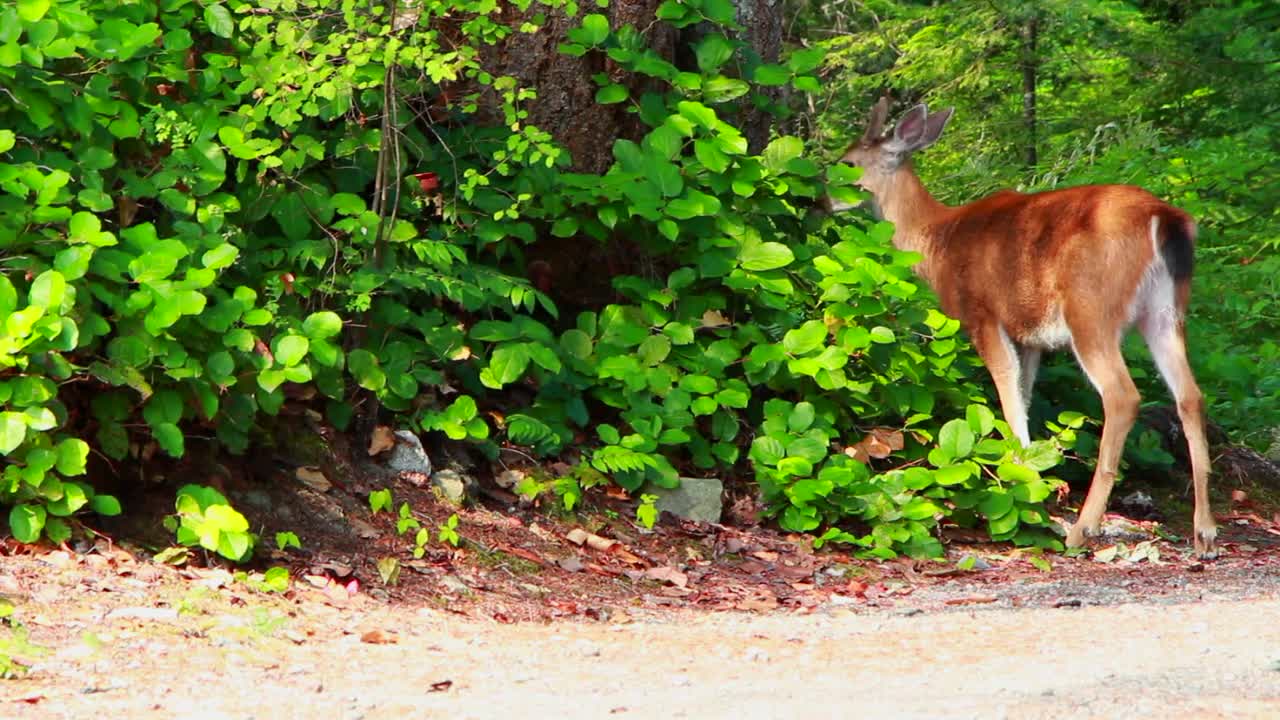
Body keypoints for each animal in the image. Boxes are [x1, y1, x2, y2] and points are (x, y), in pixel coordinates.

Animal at [829, 96, 1218, 556]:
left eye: (848, 163)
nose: (821, 201)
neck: (936, 239)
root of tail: (1163, 217)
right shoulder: (1030, 334)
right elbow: (1024, 392)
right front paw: (1029, 476)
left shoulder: (981, 312)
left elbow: (1006, 386)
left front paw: (1019, 480)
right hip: (1166, 311)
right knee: (1191, 395)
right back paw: (1205, 532)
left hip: (1092, 310)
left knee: (1122, 397)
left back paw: (1081, 529)